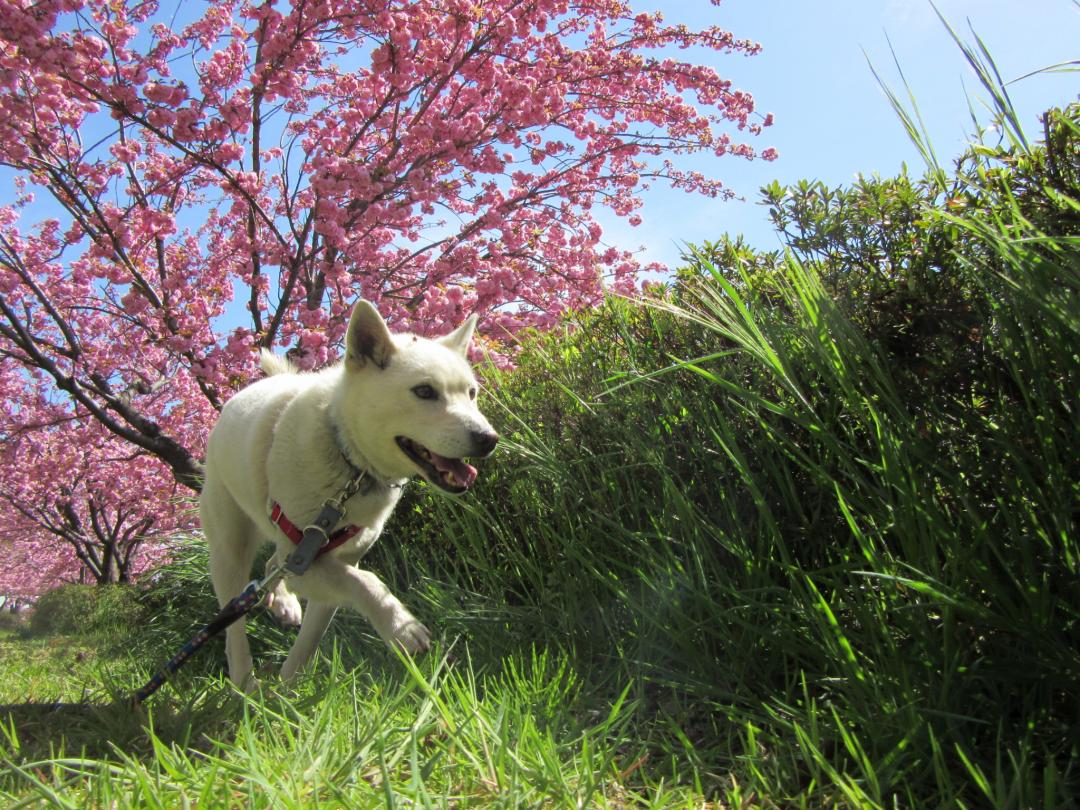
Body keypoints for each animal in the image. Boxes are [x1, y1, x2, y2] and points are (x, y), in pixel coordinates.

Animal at [201, 302, 496, 686]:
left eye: (472, 393)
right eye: (424, 392)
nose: (489, 439)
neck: (351, 463)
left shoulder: (321, 556)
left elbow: (311, 638)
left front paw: (288, 689)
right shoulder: (306, 555)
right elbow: (366, 581)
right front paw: (401, 626)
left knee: (271, 565)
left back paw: (284, 605)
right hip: (229, 548)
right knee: (234, 620)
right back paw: (244, 682)